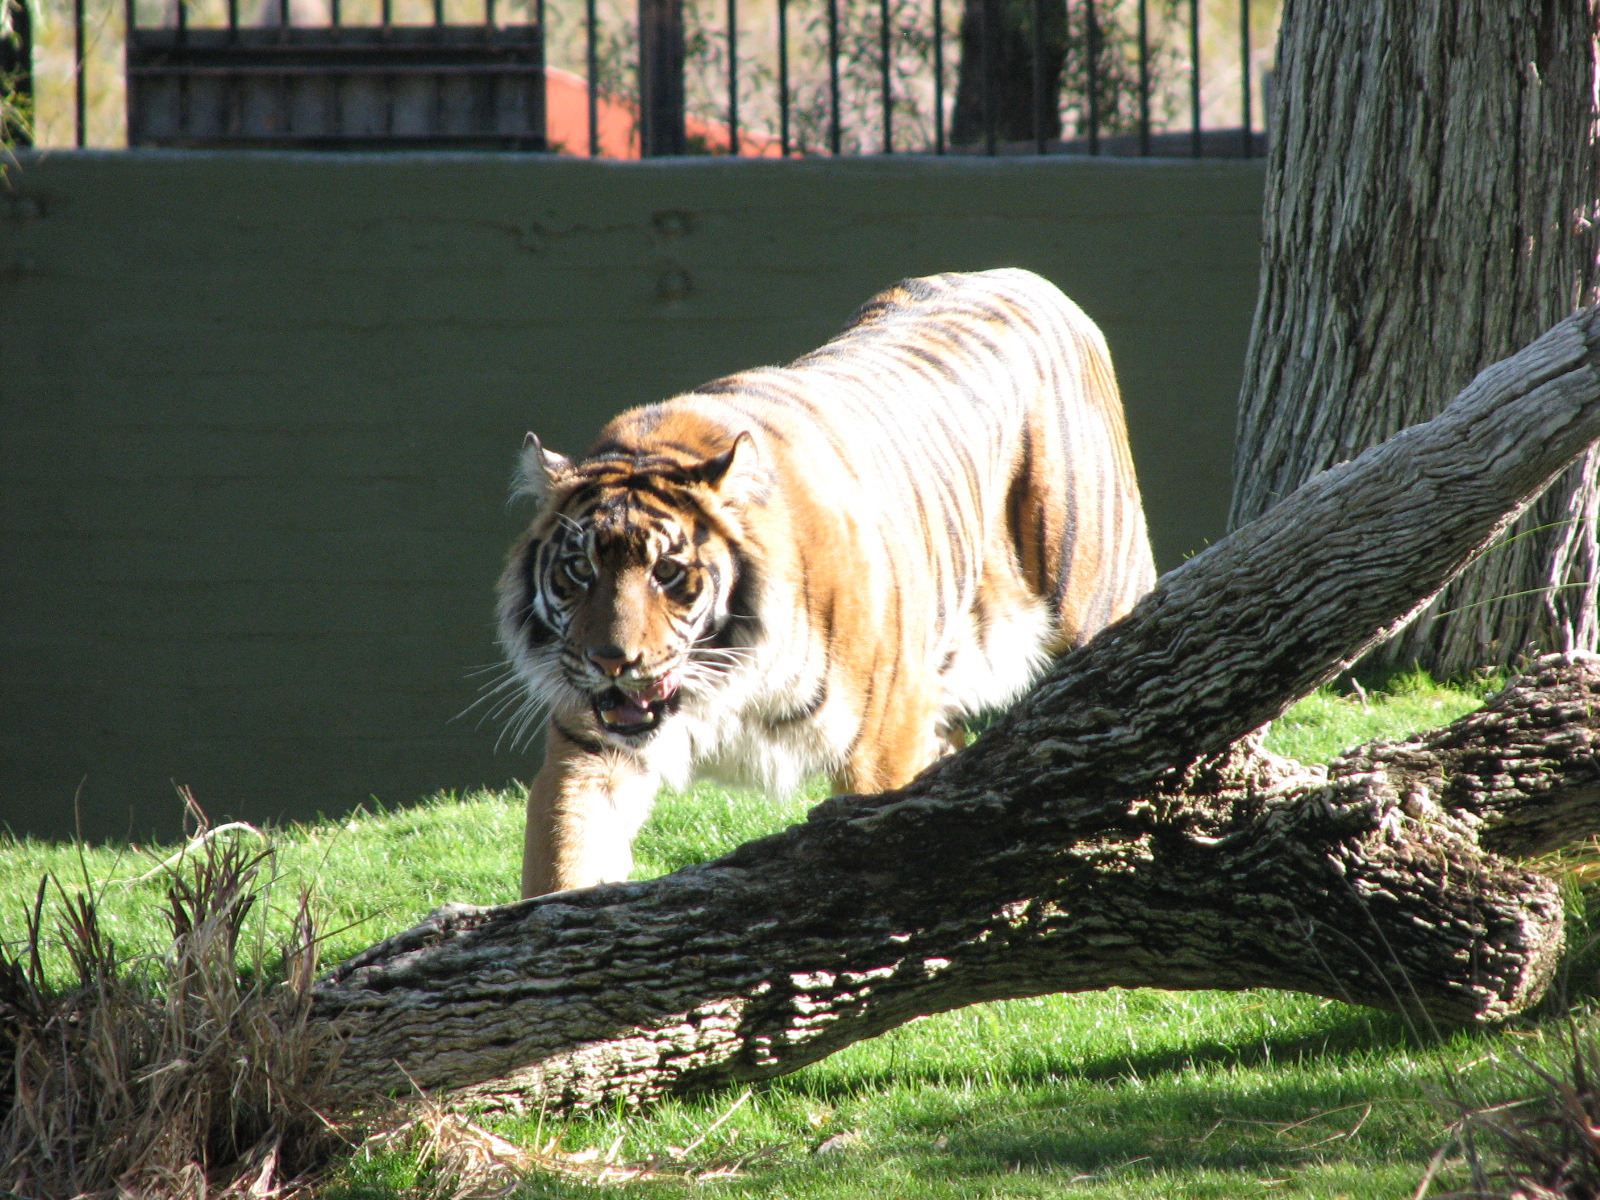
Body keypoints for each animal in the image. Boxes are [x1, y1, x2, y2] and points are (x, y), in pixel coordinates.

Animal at [497, 268, 1156, 898]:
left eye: (668, 571)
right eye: (579, 570)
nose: (611, 661)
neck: (723, 684)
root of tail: (1034, 280)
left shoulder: (883, 743)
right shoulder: (589, 746)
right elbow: (562, 860)